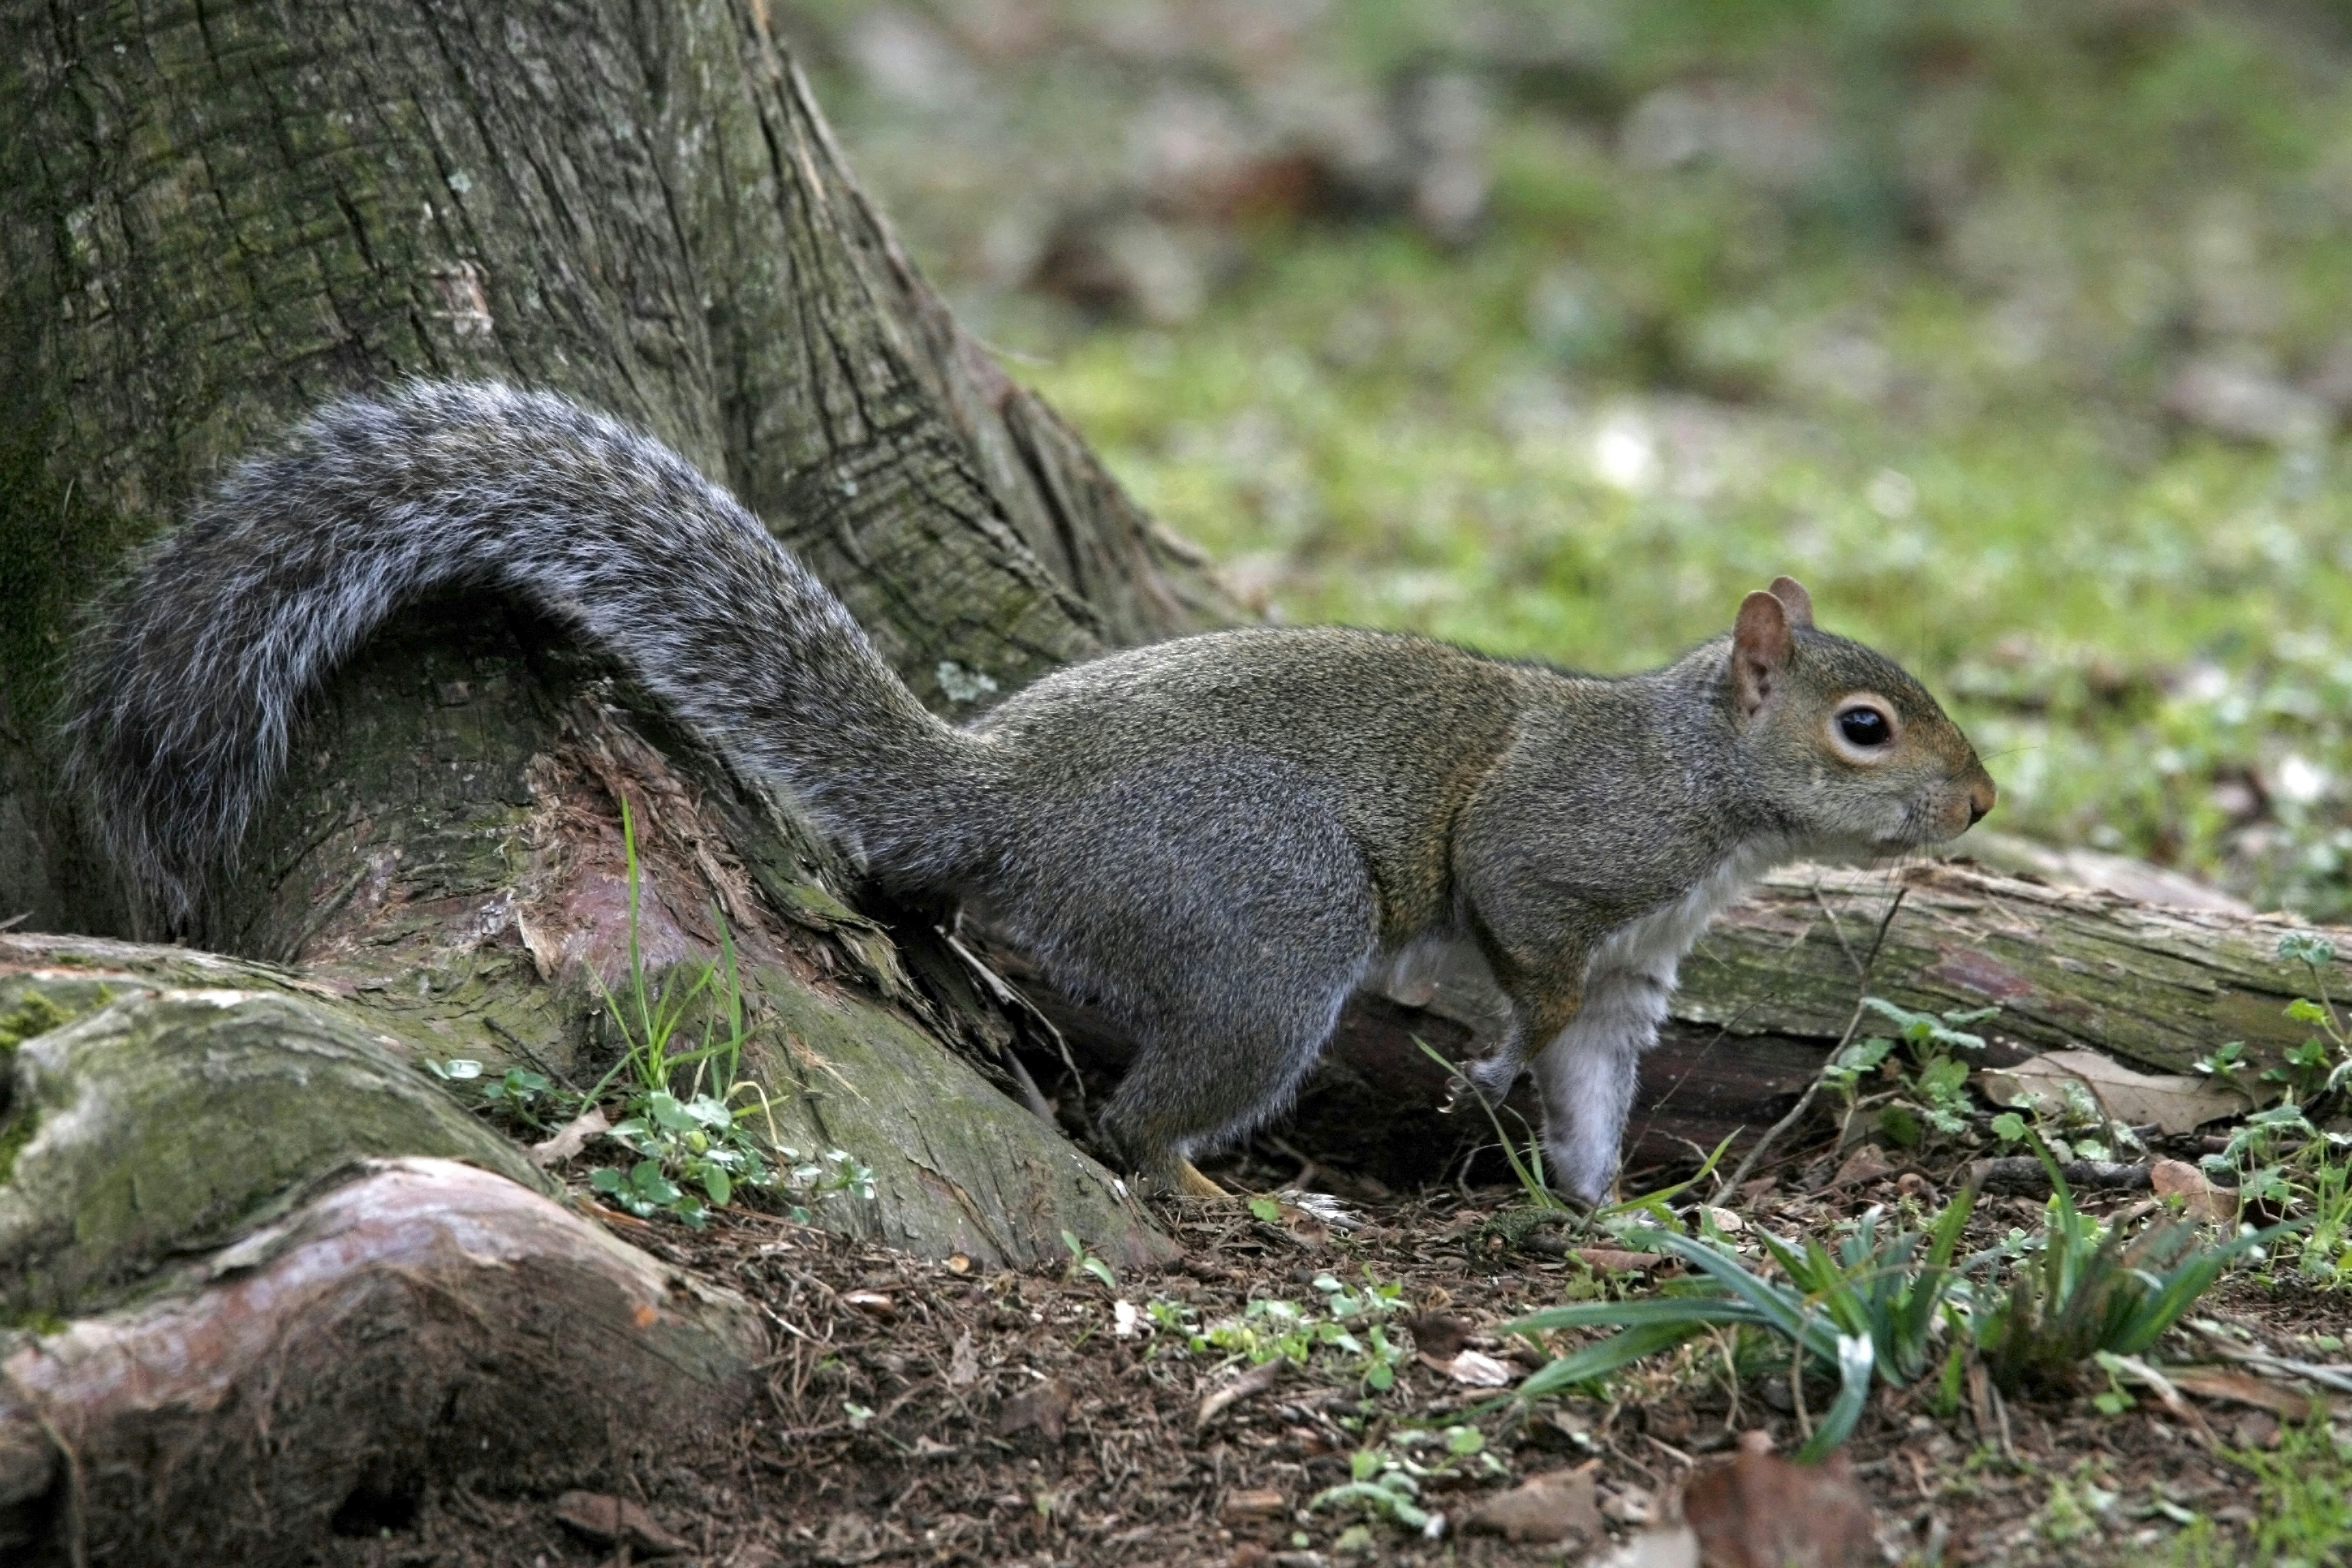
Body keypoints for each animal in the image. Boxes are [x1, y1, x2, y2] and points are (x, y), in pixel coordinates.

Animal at [65, 381, 1996, 1202]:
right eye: (1863, 728)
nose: (1977, 806)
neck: (1700, 786)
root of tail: (1002, 795)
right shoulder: (1559, 847)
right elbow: (1521, 950)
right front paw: (1498, 1064)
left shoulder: (1640, 973)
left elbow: (1598, 1081)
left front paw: (1606, 1217)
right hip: (1266, 927)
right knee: (1135, 1122)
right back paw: (1213, 1186)